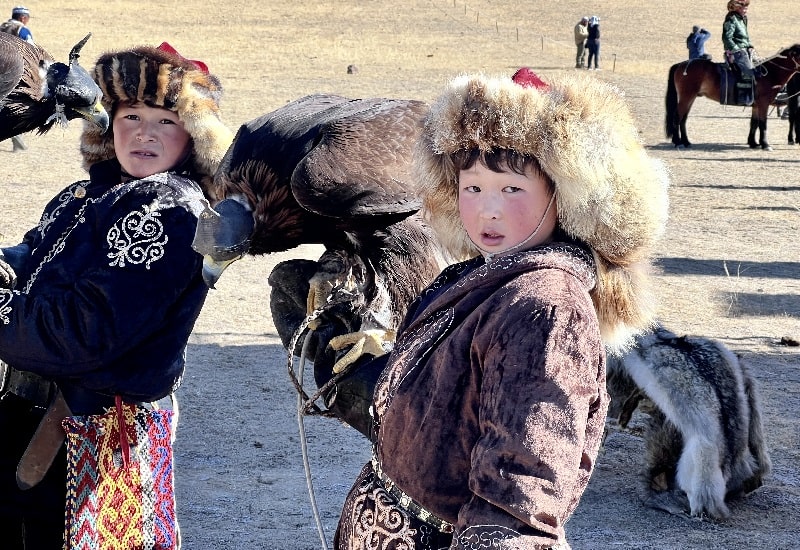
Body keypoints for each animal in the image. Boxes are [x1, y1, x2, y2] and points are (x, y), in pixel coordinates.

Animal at [664, 43, 800, 151]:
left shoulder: (756, 105)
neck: (770, 74)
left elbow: (754, 123)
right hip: (686, 96)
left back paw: (686, 142)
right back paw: (678, 142)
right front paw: (765, 144)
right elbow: (763, 124)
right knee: (677, 117)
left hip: (690, 98)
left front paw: (753, 143)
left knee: (683, 119)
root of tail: (682, 64)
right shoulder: (763, 104)